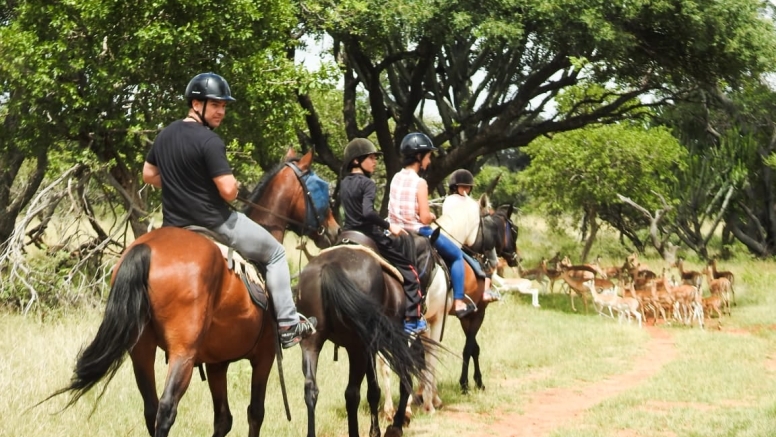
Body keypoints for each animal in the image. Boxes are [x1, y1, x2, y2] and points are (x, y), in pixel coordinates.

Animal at [48, 148, 338, 434]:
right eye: (322, 189)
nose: (334, 231)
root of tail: (147, 249)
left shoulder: (216, 363)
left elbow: (223, 419)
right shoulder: (264, 356)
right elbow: (255, 413)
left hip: (140, 348)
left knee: (151, 409)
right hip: (182, 353)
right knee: (165, 410)